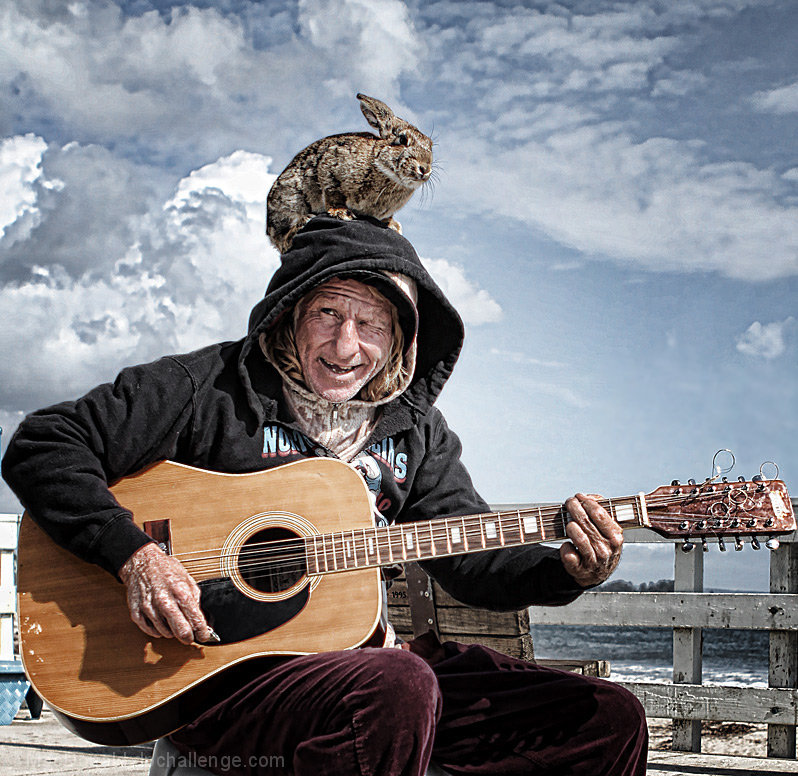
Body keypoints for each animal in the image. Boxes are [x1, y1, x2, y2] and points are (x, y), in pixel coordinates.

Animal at [266, 93, 434, 253]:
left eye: (431, 146)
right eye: (402, 139)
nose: (425, 169)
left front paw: (393, 226)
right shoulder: (330, 169)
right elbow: (333, 194)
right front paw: (342, 213)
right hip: (290, 202)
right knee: (283, 239)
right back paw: (303, 221)